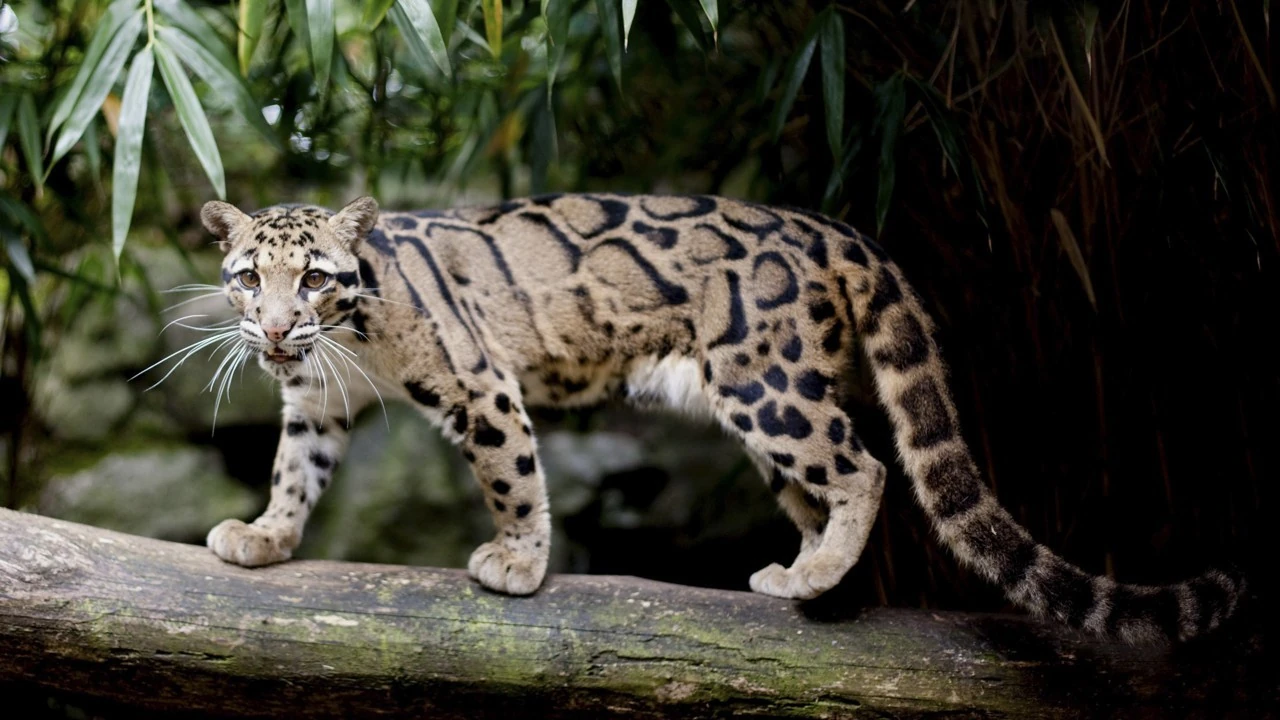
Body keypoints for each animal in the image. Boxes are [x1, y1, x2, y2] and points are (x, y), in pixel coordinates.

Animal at [194, 193, 1243, 644]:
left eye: (314, 277)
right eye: (249, 277)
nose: (274, 327)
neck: (347, 338)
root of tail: (840, 231)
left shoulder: (477, 381)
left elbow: (512, 476)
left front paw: (520, 564)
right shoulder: (315, 400)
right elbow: (295, 468)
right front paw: (266, 535)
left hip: (764, 381)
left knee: (865, 466)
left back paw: (816, 573)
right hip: (771, 400)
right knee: (824, 482)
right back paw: (810, 576)